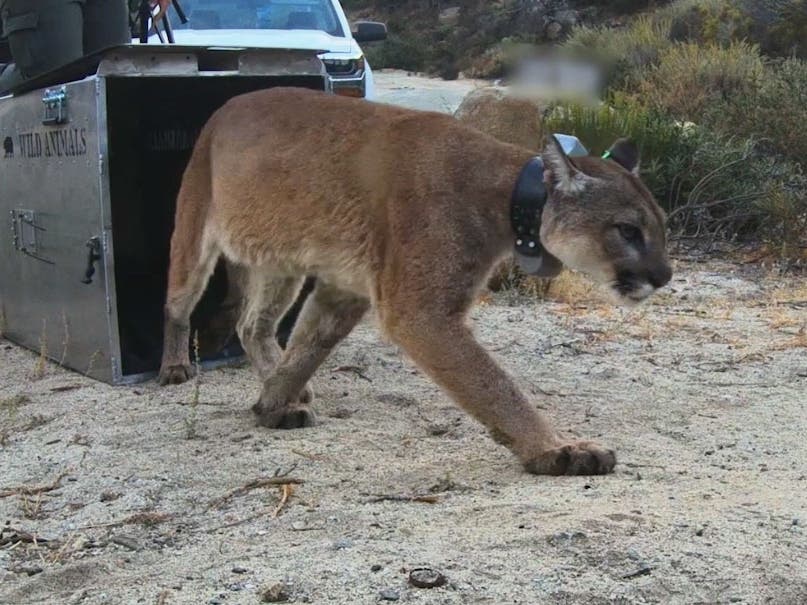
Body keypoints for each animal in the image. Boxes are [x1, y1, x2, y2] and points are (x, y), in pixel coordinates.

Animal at [158, 87, 672, 476]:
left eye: (662, 228)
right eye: (628, 230)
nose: (664, 275)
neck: (505, 196)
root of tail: (227, 104)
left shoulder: (345, 289)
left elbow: (308, 348)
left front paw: (273, 401)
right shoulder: (420, 312)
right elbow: (493, 385)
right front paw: (556, 449)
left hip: (282, 261)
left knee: (254, 325)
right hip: (195, 232)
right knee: (179, 303)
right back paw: (175, 367)